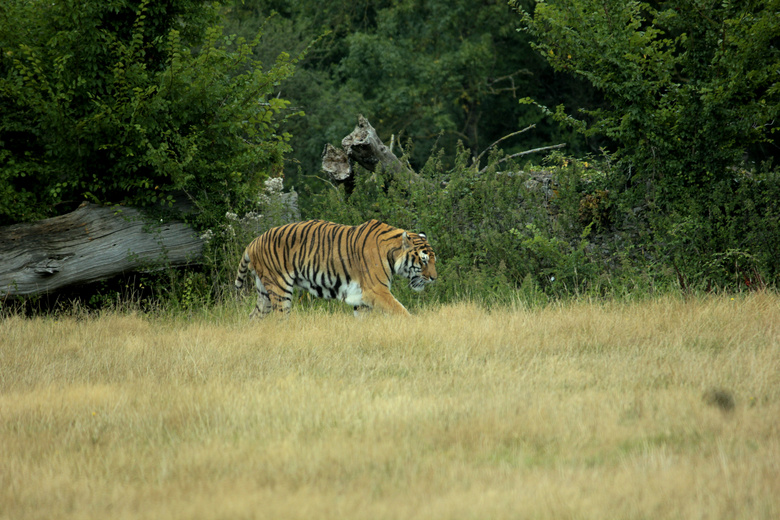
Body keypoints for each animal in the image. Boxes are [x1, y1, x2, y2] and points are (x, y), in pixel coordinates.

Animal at [235, 216, 436, 314]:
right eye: (423, 260)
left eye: (434, 259)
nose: (434, 278)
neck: (392, 253)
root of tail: (254, 242)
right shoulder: (376, 290)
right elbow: (401, 311)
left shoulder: (361, 298)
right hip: (279, 288)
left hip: (264, 293)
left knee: (255, 317)